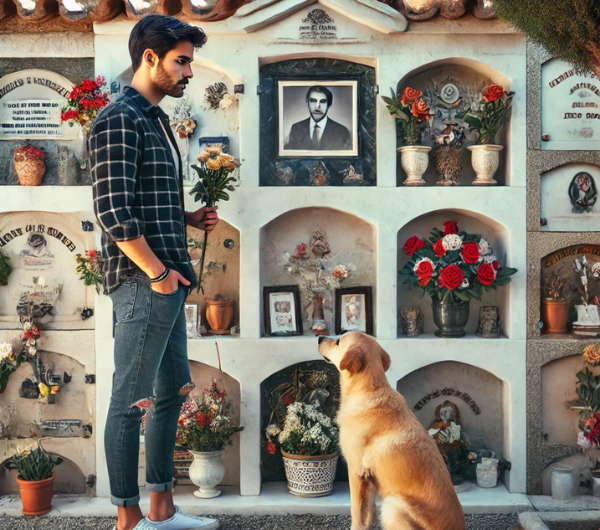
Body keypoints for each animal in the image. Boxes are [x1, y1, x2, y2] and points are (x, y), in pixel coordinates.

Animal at [318, 332, 464, 524]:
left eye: (338, 341)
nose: (319, 337)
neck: (369, 390)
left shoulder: (356, 473)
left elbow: (357, 517)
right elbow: (367, 516)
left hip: (393, 505)